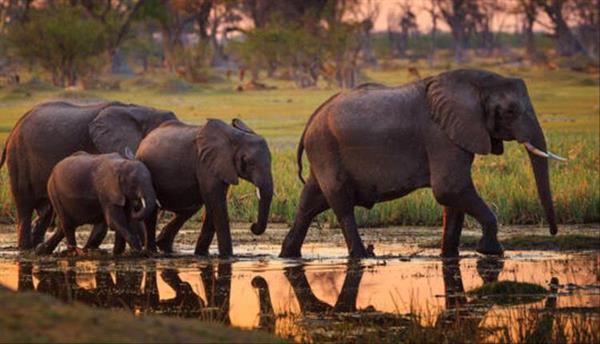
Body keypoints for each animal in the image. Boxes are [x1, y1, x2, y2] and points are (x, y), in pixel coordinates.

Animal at [0, 101, 176, 249]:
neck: (142, 111)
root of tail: (13, 130)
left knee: (45, 212)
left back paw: (37, 246)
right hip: (19, 157)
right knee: (25, 206)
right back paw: (25, 248)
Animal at [85, 117, 274, 255]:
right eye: (249, 162)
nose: (253, 226)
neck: (235, 136)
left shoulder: (219, 166)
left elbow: (213, 203)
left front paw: (201, 255)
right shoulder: (206, 163)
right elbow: (216, 202)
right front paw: (227, 257)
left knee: (191, 207)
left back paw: (164, 246)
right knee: (153, 210)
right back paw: (153, 252)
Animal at [278, 68, 564, 258]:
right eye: (511, 111)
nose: (553, 233)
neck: (476, 83)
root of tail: (311, 120)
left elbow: (453, 198)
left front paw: (449, 255)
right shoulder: (441, 135)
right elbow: (450, 188)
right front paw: (492, 252)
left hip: (323, 152)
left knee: (310, 202)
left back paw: (288, 255)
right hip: (325, 148)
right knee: (341, 203)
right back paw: (363, 255)